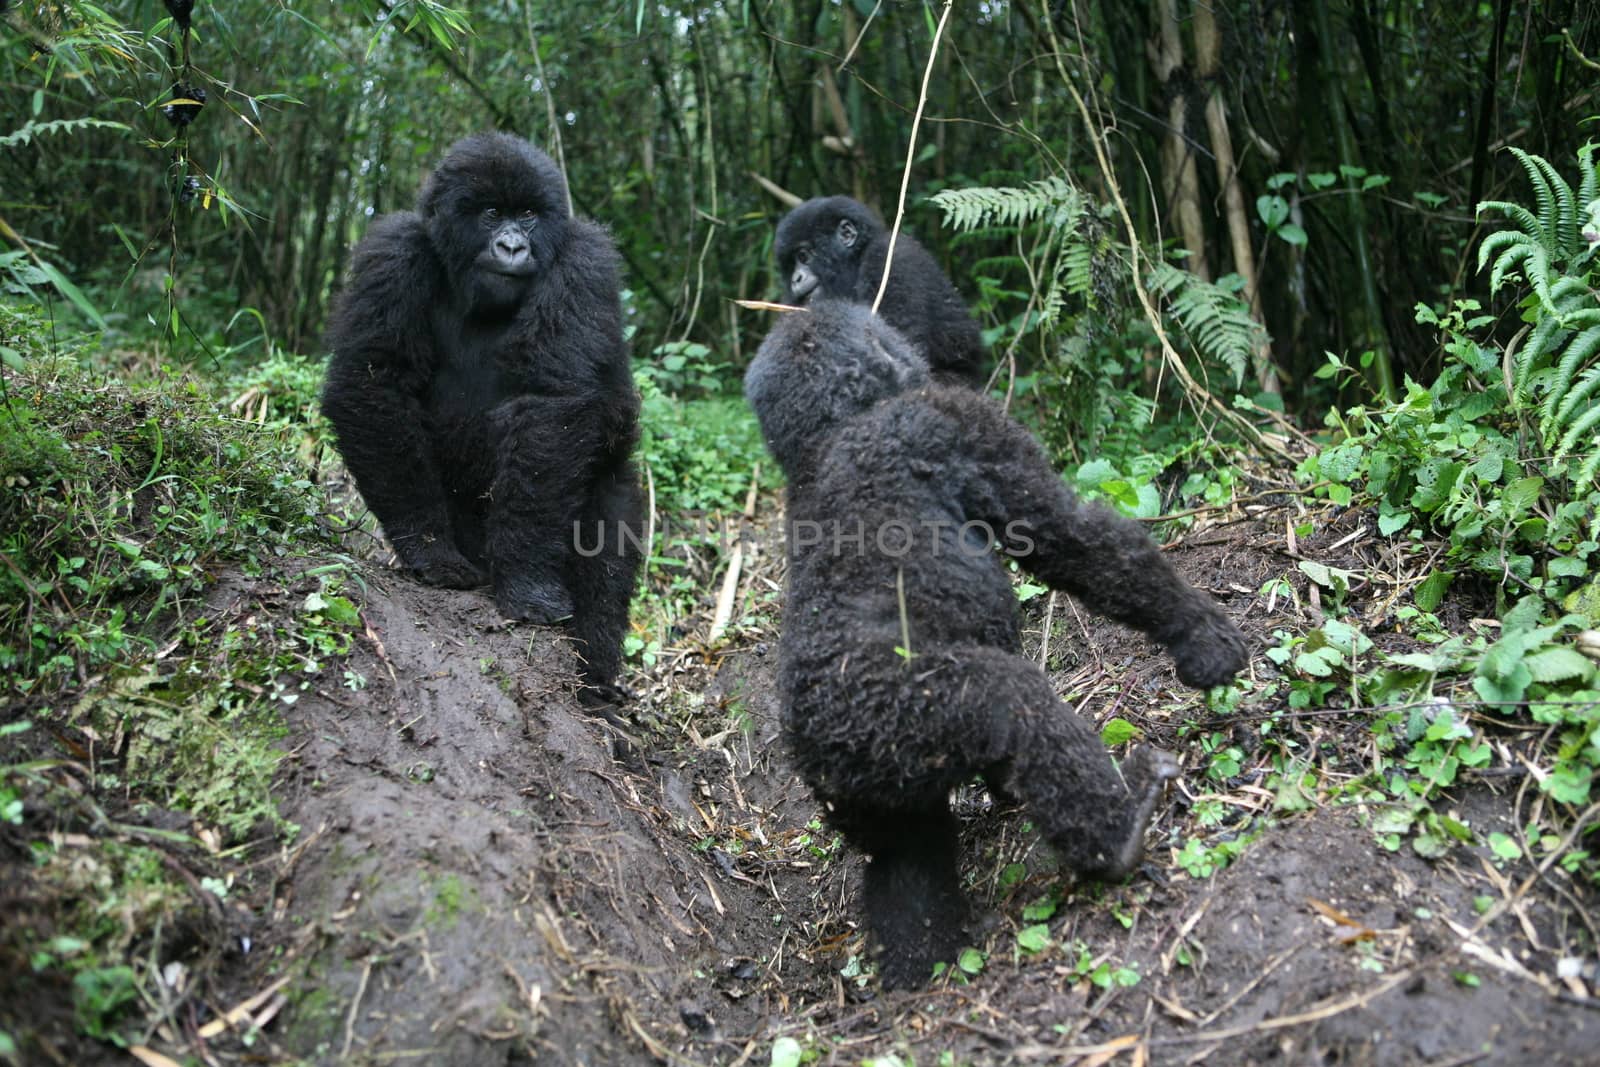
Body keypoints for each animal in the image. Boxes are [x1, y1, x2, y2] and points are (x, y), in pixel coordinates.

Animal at [321, 133, 640, 697]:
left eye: (529, 215)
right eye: (492, 214)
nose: (512, 246)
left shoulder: (584, 262)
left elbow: (548, 406)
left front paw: (527, 579)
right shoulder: (394, 252)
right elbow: (373, 378)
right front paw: (431, 550)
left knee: (606, 555)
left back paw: (595, 687)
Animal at [742, 300, 1254, 985]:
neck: (831, 432)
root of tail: (819, 744)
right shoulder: (962, 421)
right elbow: (1071, 537)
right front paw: (1202, 635)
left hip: (866, 790)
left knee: (905, 857)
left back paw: (920, 966)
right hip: (906, 712)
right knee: (1018, 706)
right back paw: (1118, 835)